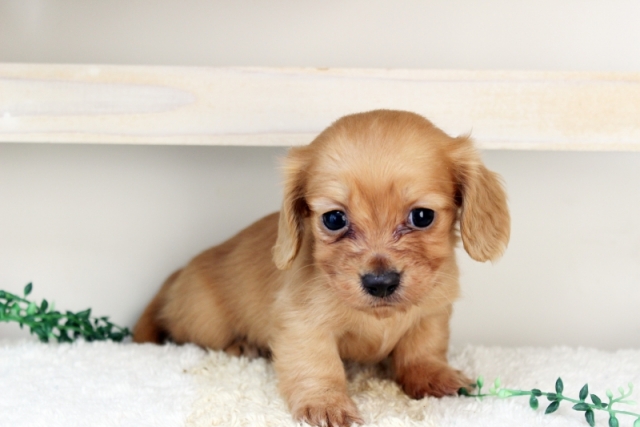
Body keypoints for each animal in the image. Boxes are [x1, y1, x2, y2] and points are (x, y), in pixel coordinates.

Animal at [133, 110, 510, 427]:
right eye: (334, 219)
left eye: (422, 216)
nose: (380, 283)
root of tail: (178, 275)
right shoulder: (302, 324)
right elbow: (318, 366)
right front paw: (326, 404)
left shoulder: (431, 312)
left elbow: (423, 349)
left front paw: (433, 376)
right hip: (205, 321)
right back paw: (243, 346)